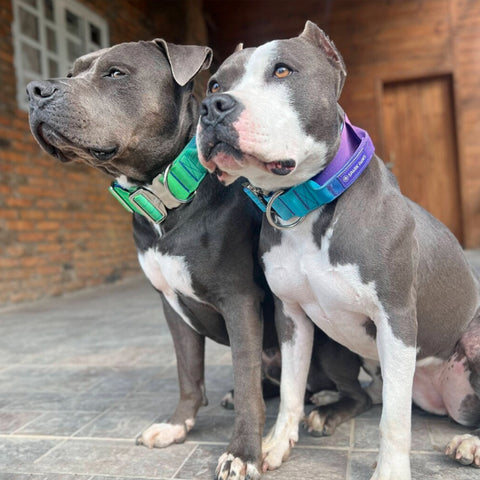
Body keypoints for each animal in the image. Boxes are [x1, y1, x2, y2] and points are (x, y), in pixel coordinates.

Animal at [196, 19, 480, 480]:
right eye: (215, 82)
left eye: (282, 71)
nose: (212, 106)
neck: (305, 207)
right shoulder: (291, 316)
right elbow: (291, 388)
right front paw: (275, 445)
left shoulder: (396, 319)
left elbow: (393, 420)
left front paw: (390, 472)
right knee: (374, 394)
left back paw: (470, 443)